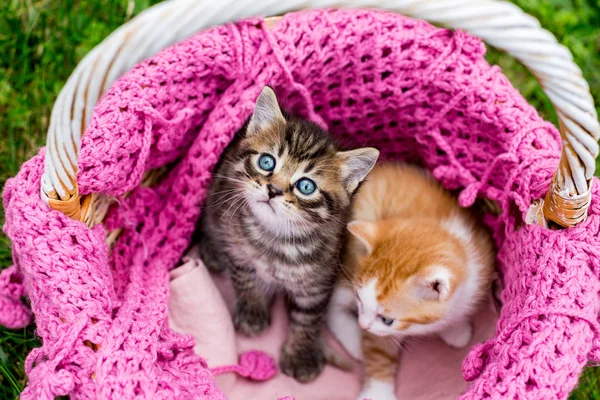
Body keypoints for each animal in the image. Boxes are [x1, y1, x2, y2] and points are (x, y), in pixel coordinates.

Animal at [191, 86, 380, 382]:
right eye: (267, 162)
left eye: (306, 186)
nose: (273, 190)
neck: (276, 238)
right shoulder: (238, 249)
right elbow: (245, 280)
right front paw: (253, 313)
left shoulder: (319, 278)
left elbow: (308, 317)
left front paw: (302, 354)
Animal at [328, 162, 492, 400]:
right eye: (359, 300)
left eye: (387, 319)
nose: (362, 325)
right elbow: (379, 350)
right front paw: (378, 391)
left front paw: (456, 329)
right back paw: (353, 341)